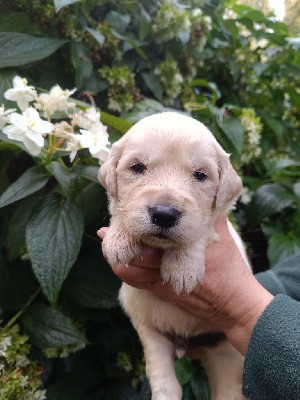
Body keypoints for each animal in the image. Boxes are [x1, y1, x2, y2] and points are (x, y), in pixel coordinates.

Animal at [98, 111, 248, 398]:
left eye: (200, 175)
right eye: (137, 168)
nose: (164, 214)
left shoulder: (216, 226)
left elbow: (200, 230)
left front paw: (182, 267)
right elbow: (120, 210)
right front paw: (119, 238)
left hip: (227, 355)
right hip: (150, 331)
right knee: (165, 380)